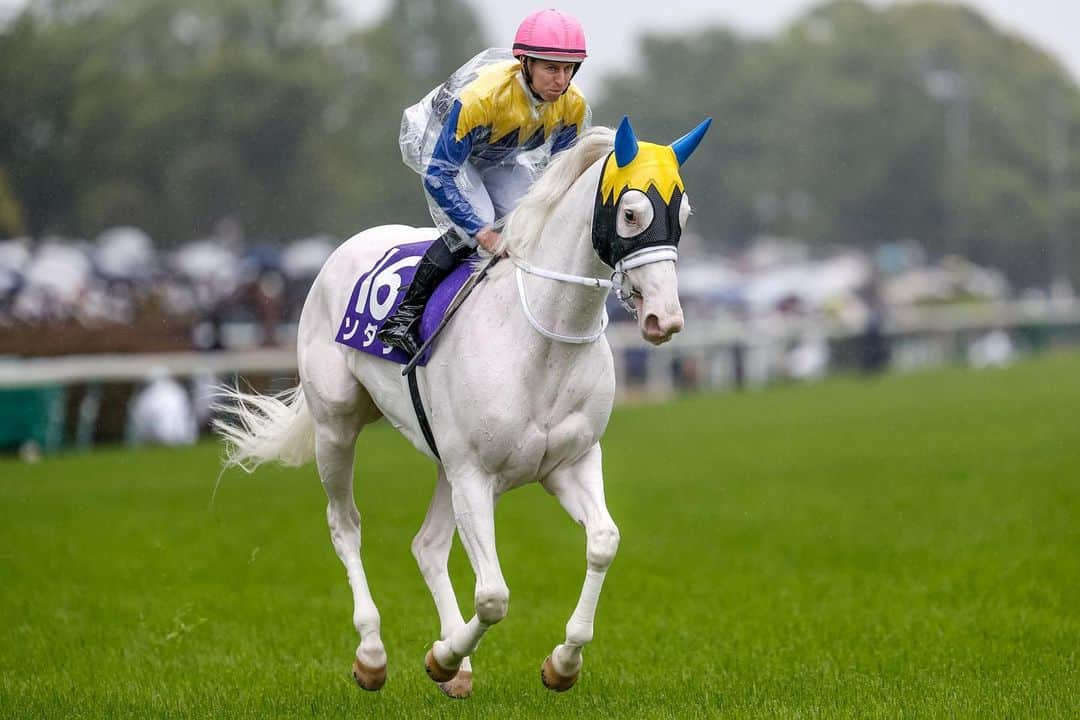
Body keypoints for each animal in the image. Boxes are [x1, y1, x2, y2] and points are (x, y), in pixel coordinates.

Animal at [216, 117, 712, 699]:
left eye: (684, 214)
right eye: (632, 212)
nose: (665, 318)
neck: (542, 340)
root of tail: (344, 250)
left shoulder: (567, 463)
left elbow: (604, 543)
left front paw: (561, 663)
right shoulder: (475, 473)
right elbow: (494, 595)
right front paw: (442, 657)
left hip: (445, 462)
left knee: (427, 544)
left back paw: (457, 665)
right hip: (337, 425)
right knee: (345, 525)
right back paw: (372, 653)